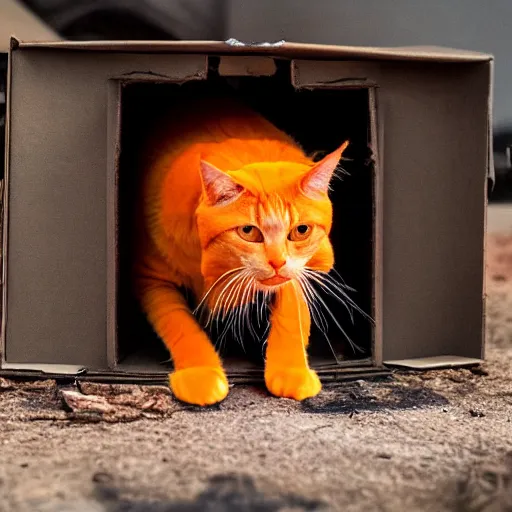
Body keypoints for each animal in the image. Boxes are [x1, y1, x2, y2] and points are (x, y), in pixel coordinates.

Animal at [133, 96, 348, 406]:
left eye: (301, 230)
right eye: (248, 232)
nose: (277, 262)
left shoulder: (295, 273)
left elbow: (291, 313)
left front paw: (291, 372)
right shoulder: (151, 279)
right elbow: (179, 322)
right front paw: (201, 374)